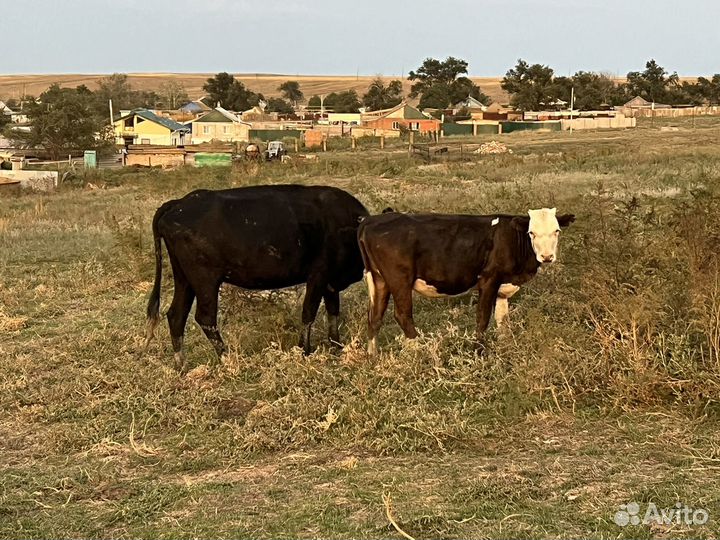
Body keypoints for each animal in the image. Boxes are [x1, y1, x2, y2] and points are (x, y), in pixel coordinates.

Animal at [143, 185, 369, 371]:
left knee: (176, 315)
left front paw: (336, 345)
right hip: (205, 281)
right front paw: (304, 350)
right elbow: (309, 312)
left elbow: (333, 311)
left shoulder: (330, 280)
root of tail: (180, 202)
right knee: (205, 318)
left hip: (184, 279)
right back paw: (227, 358)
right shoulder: (319, 274)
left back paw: (181, 365)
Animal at [357, 208, 575, 354]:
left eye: (556, 231)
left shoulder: (503, 287)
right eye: (532, 232)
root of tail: (371, 219)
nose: (547, 257)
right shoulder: (489, 279)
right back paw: (420, 352)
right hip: (399, 280)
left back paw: (372, 357)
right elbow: (483, 317)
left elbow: (503, 320)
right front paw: (479, 351)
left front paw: (505, 346)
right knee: (402, 315)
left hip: (379, 279)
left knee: (375, 317)